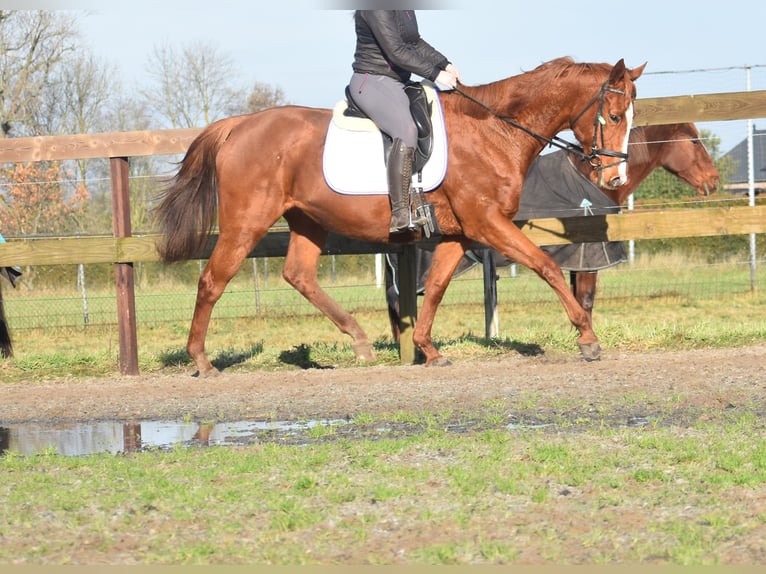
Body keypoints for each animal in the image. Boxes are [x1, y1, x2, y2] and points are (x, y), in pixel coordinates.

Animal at [153, 56, 644, 376]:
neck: (494, 130)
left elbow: (438, 287)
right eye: (614, 115)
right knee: (212, 280)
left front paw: (428, 349)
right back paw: (201, 360)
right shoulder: (488, 224)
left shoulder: (460, 234)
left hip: (308, 220)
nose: (616, 176)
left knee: (299, 275)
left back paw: (360, 341)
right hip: (247, 222)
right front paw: (588, 338)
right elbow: (547, 267)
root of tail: (238, 125)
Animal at [388, 121, 724, 340]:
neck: (591, 180)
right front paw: (586, 336)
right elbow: (586, 299)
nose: (714, 180)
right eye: (694, 142)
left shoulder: (579, 260)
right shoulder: (589, 256)